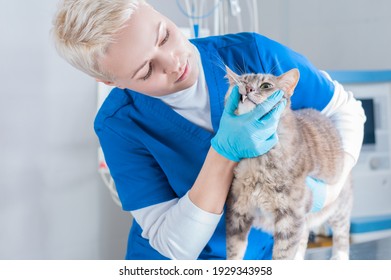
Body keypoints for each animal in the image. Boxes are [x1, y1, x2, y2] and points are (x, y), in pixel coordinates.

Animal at [225, 66, 354, 260]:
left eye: (266, 85)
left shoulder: (291, 217)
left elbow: (283, 255)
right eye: (243, 82)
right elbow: (234, 251)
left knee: (342, 233)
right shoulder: (237, 209)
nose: (247, 88)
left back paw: (339, 255)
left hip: (339, 207)